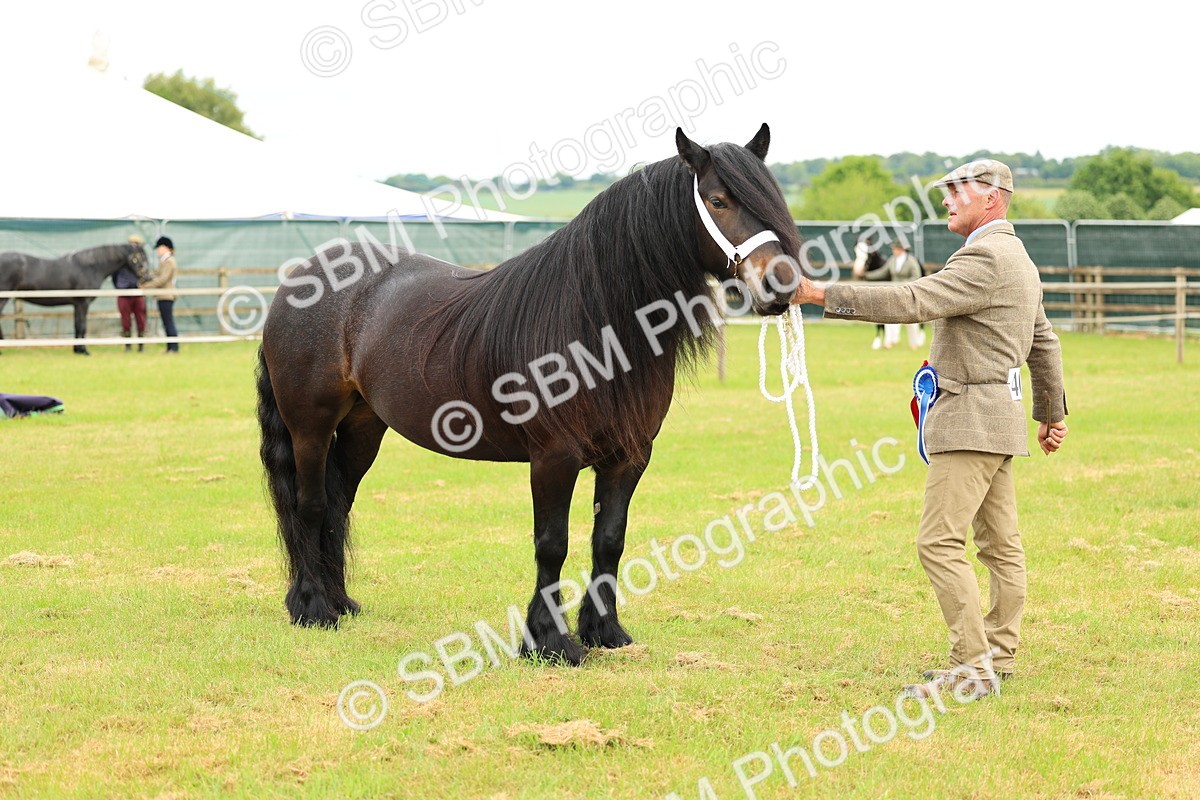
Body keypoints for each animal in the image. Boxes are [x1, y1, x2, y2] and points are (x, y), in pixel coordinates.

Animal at [0, 243, 150, 354]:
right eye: (137, 258)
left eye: (145, 257)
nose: (147, 277)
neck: (90, 268)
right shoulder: (83, 303)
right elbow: (82, 326)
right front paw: (84, 350)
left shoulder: (77, 304)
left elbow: (77, 325)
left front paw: (77, 349)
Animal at [256, 124, 802, 665]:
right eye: (717, 200)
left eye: (773, 198)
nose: (781, 286)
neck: (595, 320)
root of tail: (300, 279)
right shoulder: (554, 458)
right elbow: (552, 544)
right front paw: (549, 641)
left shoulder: (629, 458)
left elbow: (609, 540)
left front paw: (605, 631)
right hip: (310, 427)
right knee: (310, 505)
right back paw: (313, 609)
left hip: (363, 428)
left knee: (338, 503)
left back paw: (340, 602)